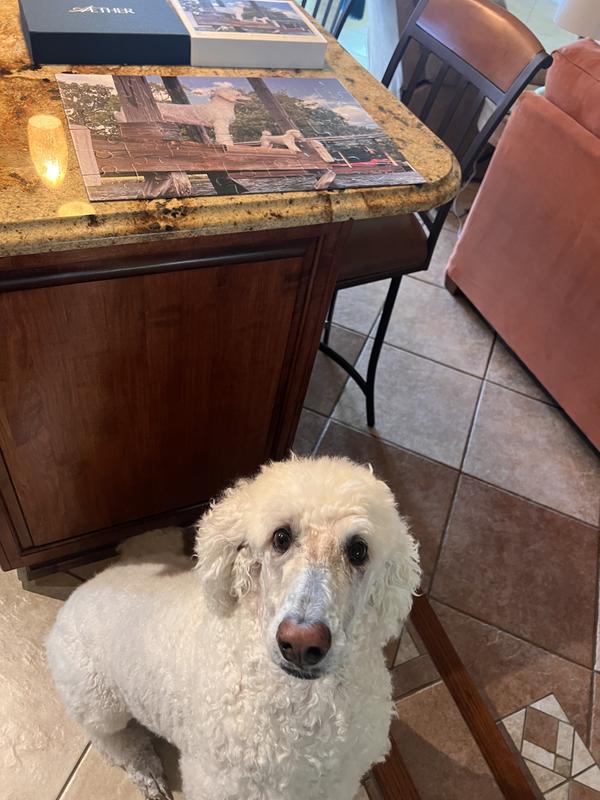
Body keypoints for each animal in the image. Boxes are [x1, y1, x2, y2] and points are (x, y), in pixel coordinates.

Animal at [46, 456, 420, 800]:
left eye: (358, 550)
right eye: (280, 537)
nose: (300, 643)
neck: (301, 703)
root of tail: (81, 590)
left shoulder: (336, 783)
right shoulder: (218, 785)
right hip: (96, 699)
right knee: (110, 739)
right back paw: (146, 769)